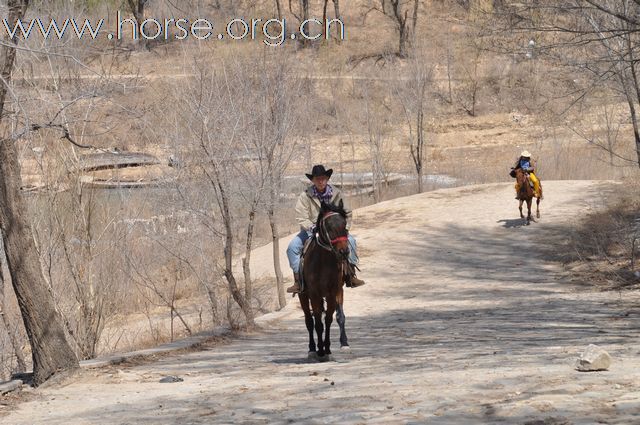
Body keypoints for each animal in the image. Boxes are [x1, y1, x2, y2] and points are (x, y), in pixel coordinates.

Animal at [300, 200, 350, 360]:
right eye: (328, 226)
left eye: (344, 224)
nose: (344, 252)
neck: (322, 261)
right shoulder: (314, 294)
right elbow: (318, 324)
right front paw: (320, 350)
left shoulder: (332, 293)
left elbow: (328, 319)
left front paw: (327, 349)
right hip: (303, 296)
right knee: (309, 321)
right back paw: (312, 349)